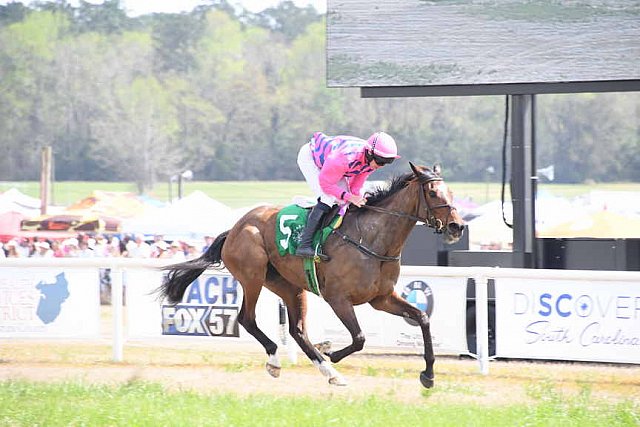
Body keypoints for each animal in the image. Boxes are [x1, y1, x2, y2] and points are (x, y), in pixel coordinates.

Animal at [158, 163, 462, 388]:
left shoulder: (381, 298)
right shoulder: (337, 298)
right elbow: (360, 337)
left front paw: (428, 375)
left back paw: (329, 372)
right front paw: (332, 352)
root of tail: (234, 228)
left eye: (451, 192)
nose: (457, 226)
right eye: (433, 193)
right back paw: (277, 361)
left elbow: (422, 318)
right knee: (248, 318)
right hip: (253, 275)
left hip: (289, 286)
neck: (372, 240)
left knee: (297, 330)